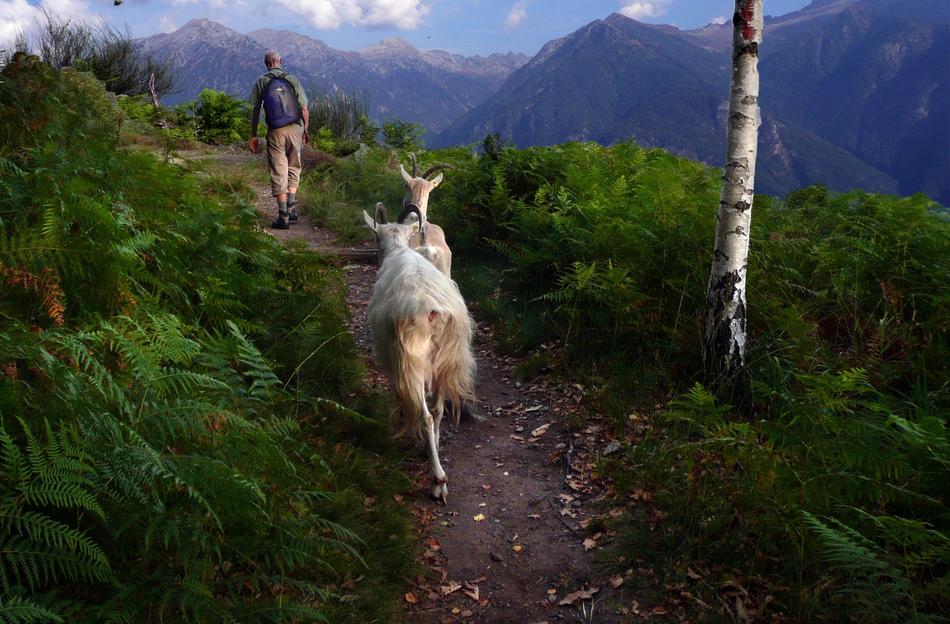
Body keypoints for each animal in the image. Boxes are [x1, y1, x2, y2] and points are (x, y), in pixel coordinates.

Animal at [364, 203, 476, 503]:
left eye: (375, 239)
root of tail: (432, 311)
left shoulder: (394, 357)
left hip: (410, 358)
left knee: (426, 414)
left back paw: (438, 481)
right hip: (446, 359)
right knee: (437, 409)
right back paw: (432, 448)